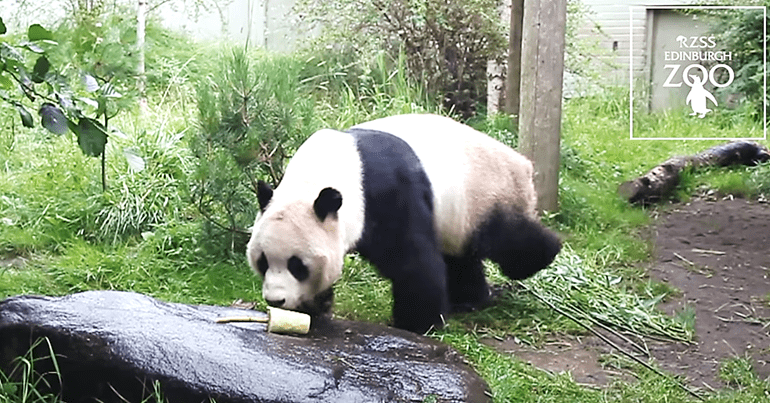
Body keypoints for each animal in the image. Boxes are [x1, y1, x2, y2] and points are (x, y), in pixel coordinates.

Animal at [246, 113, 560, 334]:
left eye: (296, 265)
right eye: (263, 261)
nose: (275, 300)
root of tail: (522, 163)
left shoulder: (386, 193)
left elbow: (411, 259)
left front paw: (418, 322)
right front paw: (312, 306)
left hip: (485, 194)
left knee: (508, 238)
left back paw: (545, 253)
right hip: (456, 217)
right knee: (460, 257)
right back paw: (469, 299)